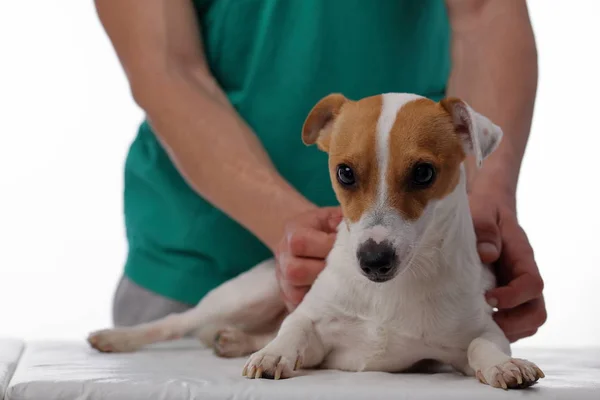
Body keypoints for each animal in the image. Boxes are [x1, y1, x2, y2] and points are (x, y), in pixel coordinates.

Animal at [88, 92, 544, 390]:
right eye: (345, 173)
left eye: (424, 173)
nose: (373, 259)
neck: (390, 292)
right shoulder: (314, 327)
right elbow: (293, 329)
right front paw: (274, 354)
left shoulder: (478, 333)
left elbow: (484, 348)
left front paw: (505, 367)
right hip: (249, 292)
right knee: (178, 322)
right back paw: (118, 338)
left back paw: (233, 341)